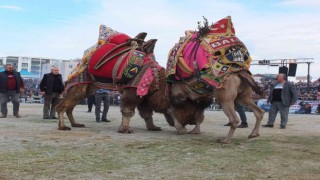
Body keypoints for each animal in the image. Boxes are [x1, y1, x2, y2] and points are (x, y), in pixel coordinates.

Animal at [55, 24, 202, 133]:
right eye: (187, 106)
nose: (193, 122)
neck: (156, 79)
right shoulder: (134, 88)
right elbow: (128, 109)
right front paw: (125, 129)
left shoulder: (145, 93)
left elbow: (146, 112)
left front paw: (153, 127)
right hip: (80, 82)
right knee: (63, 105)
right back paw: (63, 126)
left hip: (89, 87)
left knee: (71, 105)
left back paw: (76, 124)